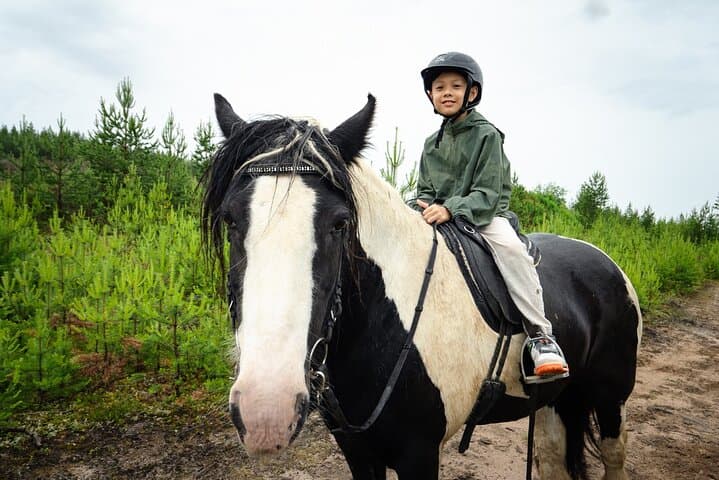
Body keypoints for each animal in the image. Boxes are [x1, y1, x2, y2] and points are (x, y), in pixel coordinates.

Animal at [201, 93, 642, 480]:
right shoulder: (358, 452)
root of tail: (605, 261)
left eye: (340, 223)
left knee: (614, 457)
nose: (266, 412)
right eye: (230, 219)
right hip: (556, 399)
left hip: (610, 397)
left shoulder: (419, 453)